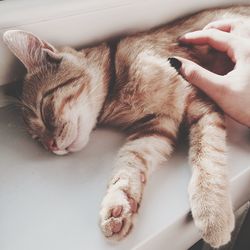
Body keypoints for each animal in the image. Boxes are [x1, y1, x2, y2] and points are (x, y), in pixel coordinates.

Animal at [3, 5, 248, 248]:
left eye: (44, 111)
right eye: (37, 139)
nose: (52, 146)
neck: (117, 92)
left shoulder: (199, 102)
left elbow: (207, 157)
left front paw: (211, 211)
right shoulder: (155, 127)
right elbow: (130, 161)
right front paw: (118, 204)